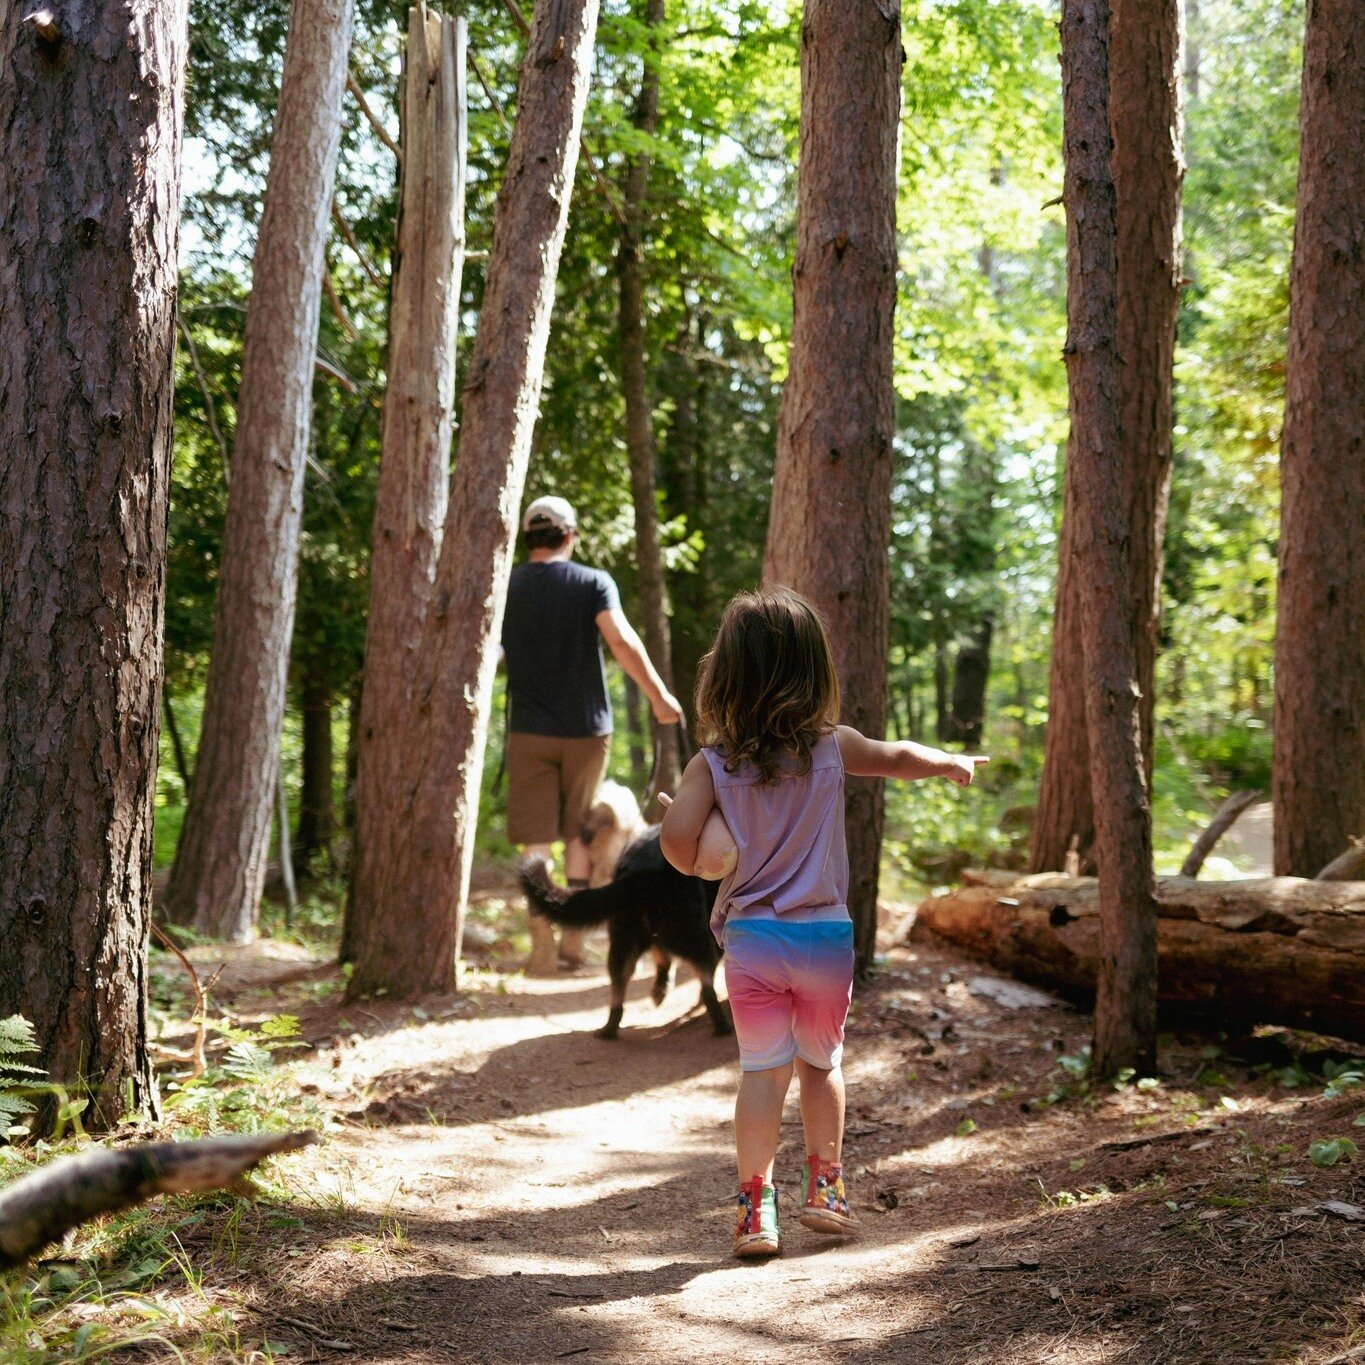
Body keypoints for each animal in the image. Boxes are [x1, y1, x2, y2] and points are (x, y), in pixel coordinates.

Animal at [518, 829, 731, 1042]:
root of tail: (641, 869)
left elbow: (663, 960)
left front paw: (661, 989)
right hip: (692, 934)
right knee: (706, 983)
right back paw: (721, 1025)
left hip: (624, 939)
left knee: (618, 993)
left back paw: (608, 1030)